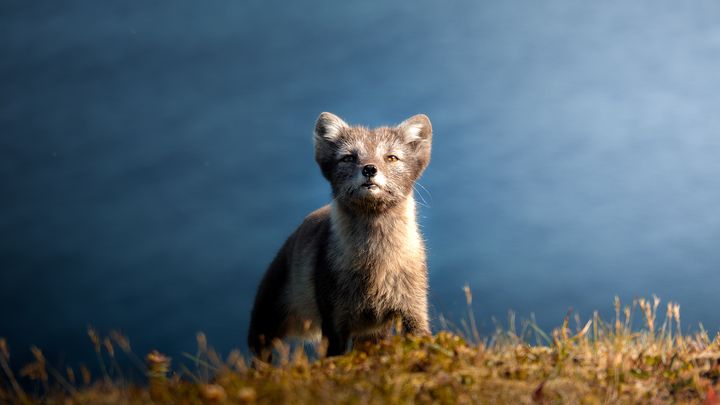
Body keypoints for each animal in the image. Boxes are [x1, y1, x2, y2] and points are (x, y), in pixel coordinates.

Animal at [248, 111, 434, 356]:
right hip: (265, 325)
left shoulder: (414, 309)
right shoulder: (334, 320)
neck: (374, 267)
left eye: (392, 158)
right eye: (348, 158)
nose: (369, 169)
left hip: (373, 334)